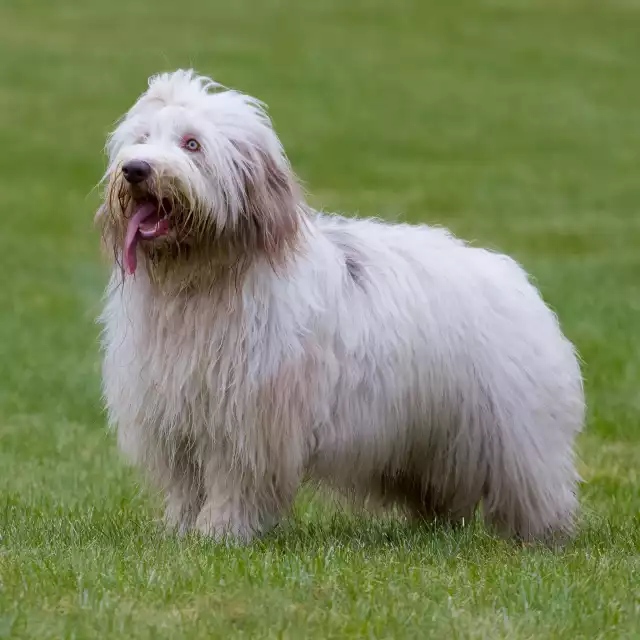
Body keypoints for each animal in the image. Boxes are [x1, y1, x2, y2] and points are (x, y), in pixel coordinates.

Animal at [99, 70, 584, 544]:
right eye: (142, 137)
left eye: (192, 144)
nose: (136, 168)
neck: (199, 281)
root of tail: (513, 278)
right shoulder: (176, 415)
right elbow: (186, 485)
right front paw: (181, 532)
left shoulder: (247, 421)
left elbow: (232, 481)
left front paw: (220, 532)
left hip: (512, 431)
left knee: (534, 484)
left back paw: (541, 535)